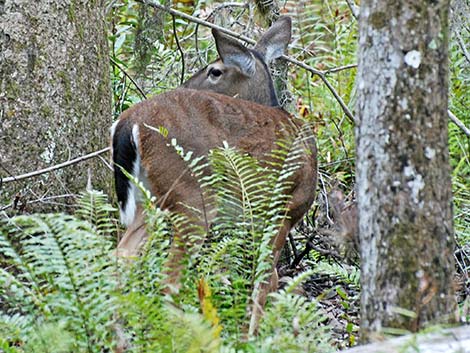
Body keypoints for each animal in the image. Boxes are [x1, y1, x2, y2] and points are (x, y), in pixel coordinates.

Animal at [110, 15, 316, 330]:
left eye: (215, 71)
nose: (184, 84)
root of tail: (127, 121)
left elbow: (267, 278)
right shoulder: (284, 209)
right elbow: (265, 280)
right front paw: (253, 334)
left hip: (150, 197)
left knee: (122, 255)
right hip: (192, 195)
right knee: (169, 277)